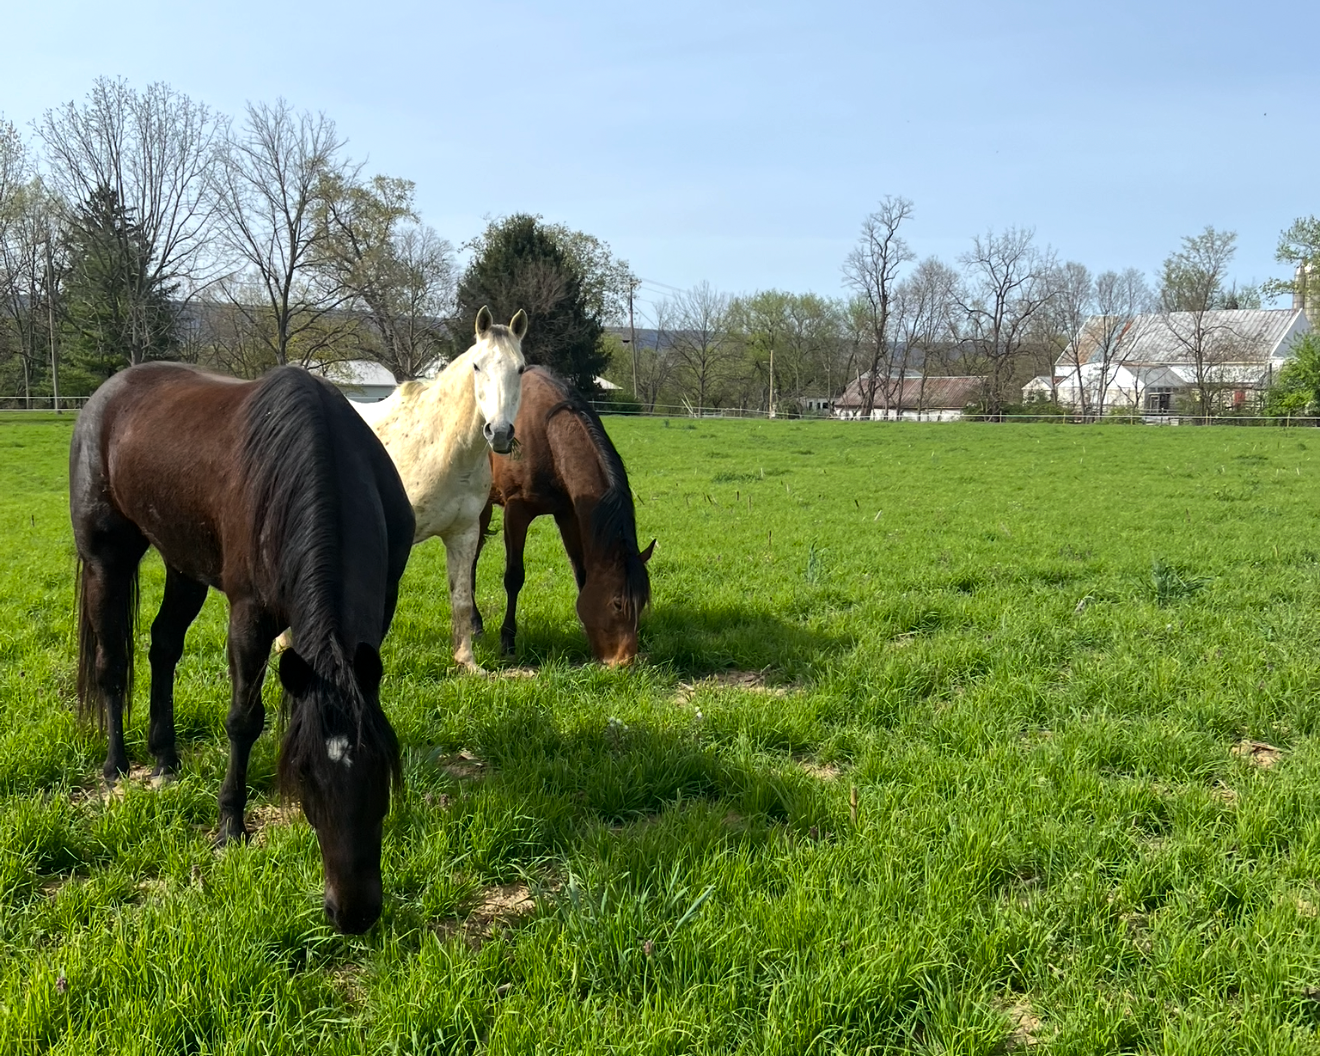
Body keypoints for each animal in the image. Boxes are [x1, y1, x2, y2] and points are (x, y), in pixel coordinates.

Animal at [70, 362, 414, 934]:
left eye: (383, 768)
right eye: (305, 777)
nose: (353, 914)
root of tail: (105, 394)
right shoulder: (249, 617)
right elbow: (243, 721)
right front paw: (230, 824)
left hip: (182, 563)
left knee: (163, 647)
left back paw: (165, 757)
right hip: (106, 559)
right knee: (111, 665)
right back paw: (117, 765)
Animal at [352, 306, 526, 671]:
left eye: (520, 368)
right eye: (477, 366)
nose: (500, 432)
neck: (440, 444)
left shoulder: (463, 533)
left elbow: (461, 598)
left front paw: (466, 662)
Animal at [472, 366, 654, 666]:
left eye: (642, 603)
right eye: (617, 603)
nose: (625, 661)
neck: (547, 433)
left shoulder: (567, 513)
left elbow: (581, 572)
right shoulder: (516, 511)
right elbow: (514, 577)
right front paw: (507, 640)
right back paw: (474, 623)